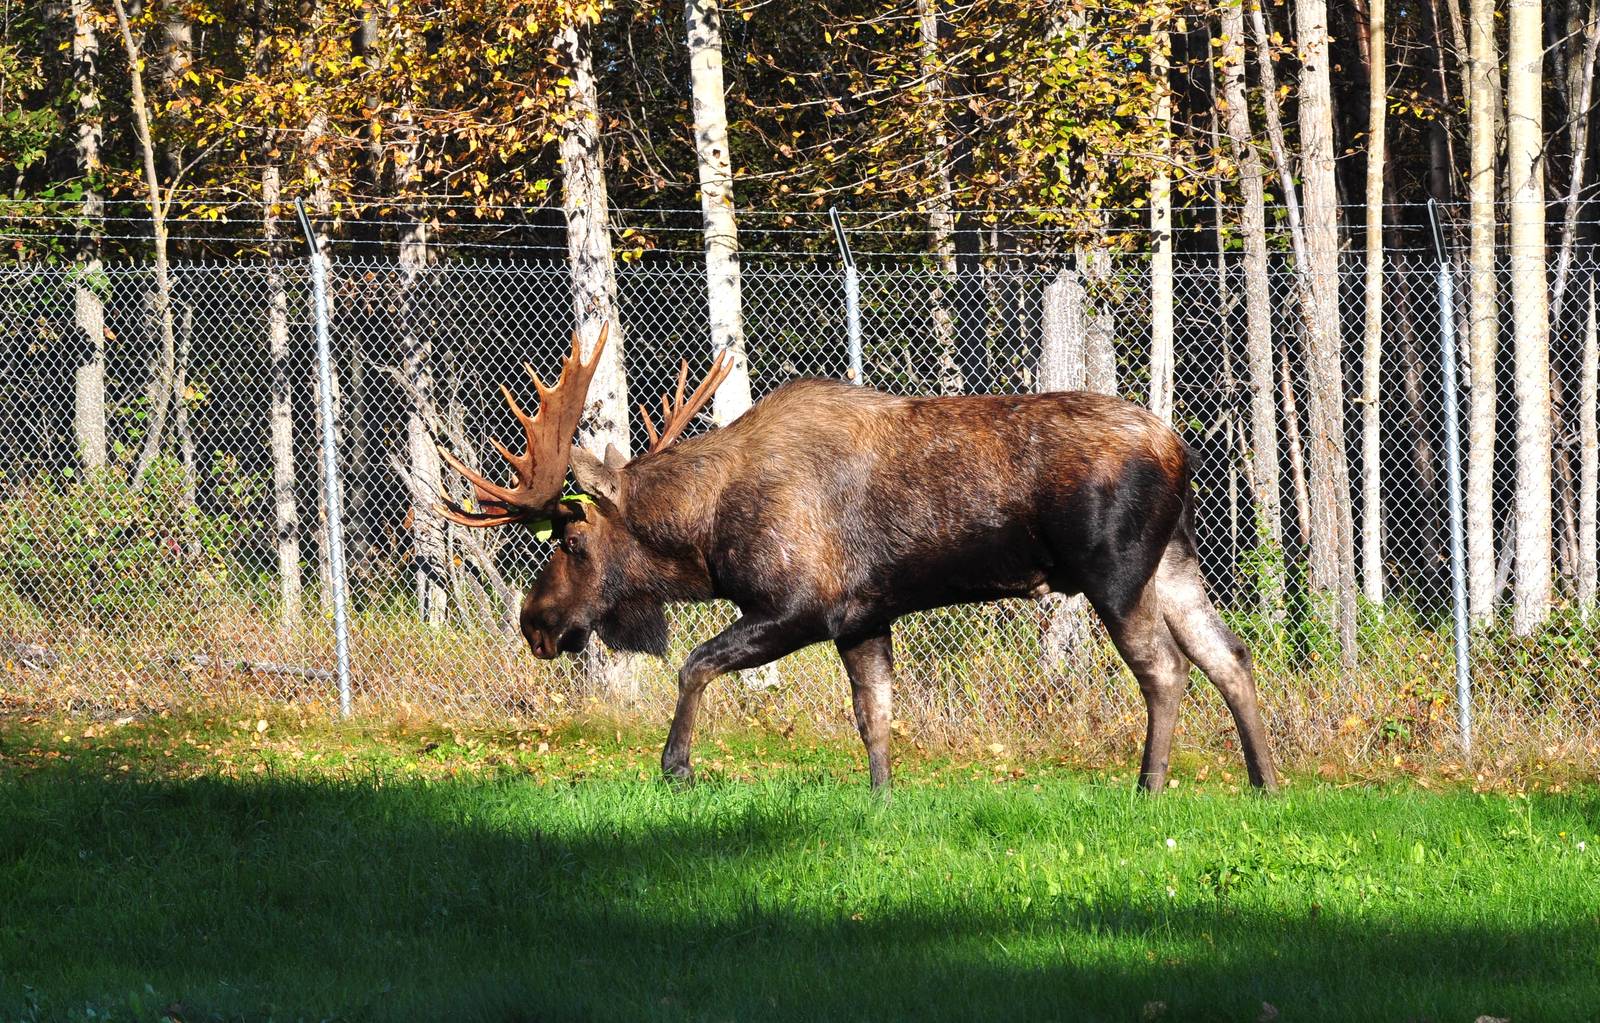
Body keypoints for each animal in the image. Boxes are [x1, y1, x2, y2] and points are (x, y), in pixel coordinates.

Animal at [438, 325, 1279, 793]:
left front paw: (676, 766)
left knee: (1166, 668)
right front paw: (881, 797)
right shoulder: (863, 617)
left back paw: (1150, 784)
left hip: (1115, 569)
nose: (535, 621)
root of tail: (1182, 449)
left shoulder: (799, 604)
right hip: (1174, 561)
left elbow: (695, 664)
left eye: (572, 541)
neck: (704, 533)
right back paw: (1265, 780)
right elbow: (874, 717)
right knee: (1230, 653)